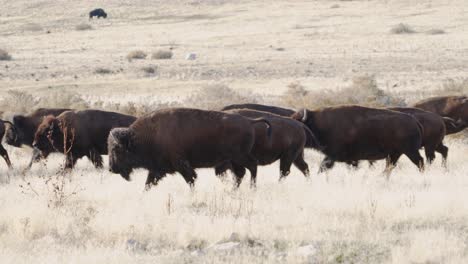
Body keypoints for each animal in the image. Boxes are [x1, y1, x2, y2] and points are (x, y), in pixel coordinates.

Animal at [106, 108, 272, 190]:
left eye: (116, 149)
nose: (111, 168)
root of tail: (249, 121)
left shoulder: (181, 164)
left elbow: (190, 179)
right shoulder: (157, 169)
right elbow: (148, 183)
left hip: (240, 156)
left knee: (252, 166)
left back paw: (252, 188)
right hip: (234, 159)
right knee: (240, 173)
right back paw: (234, 191)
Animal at [290, 105, 426, 173]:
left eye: (300, 123)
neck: (318, 123)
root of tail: (414, 121)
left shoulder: (334, 157)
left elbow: (323, 167)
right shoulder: (350, 160)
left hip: (410, 151)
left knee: (420, 161)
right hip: (395, 154)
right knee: (389, 167)